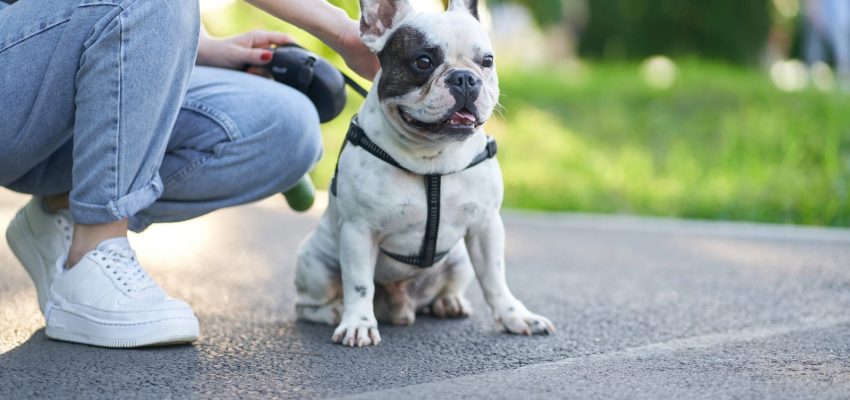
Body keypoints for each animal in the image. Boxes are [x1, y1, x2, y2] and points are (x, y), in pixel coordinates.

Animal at [294, 0, 552, 346]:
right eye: (423, 61)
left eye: (487, 61)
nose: (464, 78)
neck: (433, 159)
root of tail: (401, 307)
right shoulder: (359, 231)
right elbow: (359, 284)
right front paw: (358, 324)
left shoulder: (486, 226)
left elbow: (495, 278)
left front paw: (515, 316)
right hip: (315, 265)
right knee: (308, 304)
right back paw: (334, 312)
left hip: (459, 260)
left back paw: (449, 302)